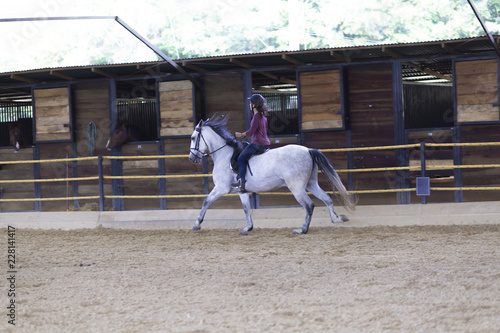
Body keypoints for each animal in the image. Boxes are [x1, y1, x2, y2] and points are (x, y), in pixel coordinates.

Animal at [188, 115, 356, 235]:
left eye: (193, 138)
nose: (191, 158)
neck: (224, 155)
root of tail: (308, 150)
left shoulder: (221, 188)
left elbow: (206, 201)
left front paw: (196, 225)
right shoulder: (241, 191)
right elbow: (246, 209)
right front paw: (247, 228)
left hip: (297, 188)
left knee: (309, 205)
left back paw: (302, 230)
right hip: (310, 184)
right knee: (326, 198)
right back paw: (337, 219)